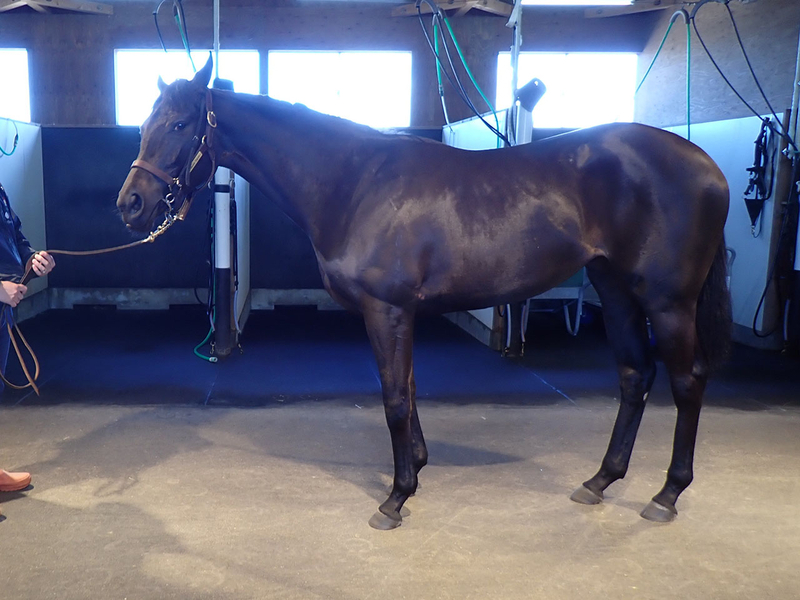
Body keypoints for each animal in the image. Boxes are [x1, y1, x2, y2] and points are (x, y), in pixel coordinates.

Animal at [116, 56, 731, 530]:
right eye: (145, 121)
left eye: (179, 124)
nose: (131, 204)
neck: (353, 183)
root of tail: (709, 167)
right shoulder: (402, 313)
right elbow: (408, 389)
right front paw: (416, 469)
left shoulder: (386, 310)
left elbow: (393, 397)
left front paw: (395, 497)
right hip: (615, 288)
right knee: (635, 375)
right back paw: (600, 480)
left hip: (667, 302)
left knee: (687, 381)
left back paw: (666, 495)